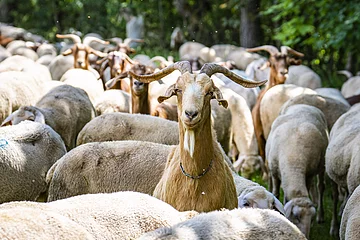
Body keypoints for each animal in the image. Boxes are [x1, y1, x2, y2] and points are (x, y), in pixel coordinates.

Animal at [264, 105, 330, 238]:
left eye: (310, 219)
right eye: (296, 216)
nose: (304, 236)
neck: (293, 160)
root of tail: (303, 105)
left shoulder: (309, 174)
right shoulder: (275, 173)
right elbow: (276, 194)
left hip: (322, 165)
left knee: (320, 187)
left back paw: (321, 215)